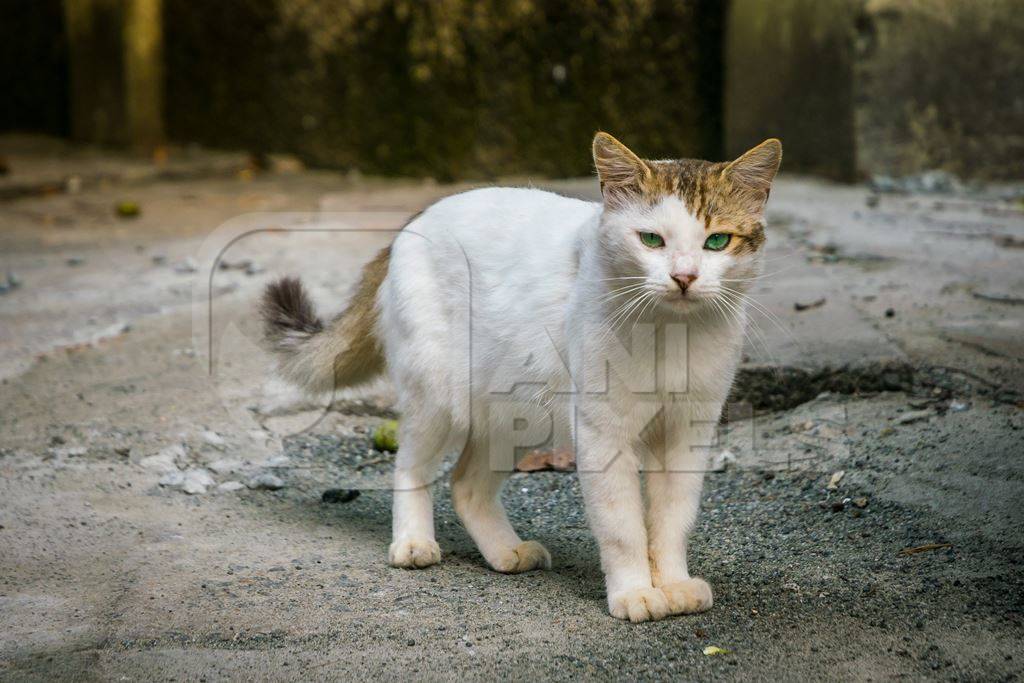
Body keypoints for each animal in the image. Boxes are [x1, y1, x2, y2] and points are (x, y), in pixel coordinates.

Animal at [260, 133, 778, 626]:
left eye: (717, 242)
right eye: (651, 240)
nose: (684, 277)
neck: (672, 334)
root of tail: (414, 220)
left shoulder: (686, 435)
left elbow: (672, 521)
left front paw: (672, 584)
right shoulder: (602, 434)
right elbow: (624, 526)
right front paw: (634, 592)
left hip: (517, 414)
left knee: (466, 486)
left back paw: (505, 551)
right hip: (438, 398)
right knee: (410, 467)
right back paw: (413, 543)